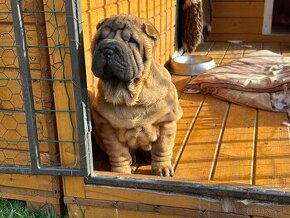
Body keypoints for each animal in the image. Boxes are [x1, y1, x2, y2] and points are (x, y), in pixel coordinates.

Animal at [89, 14, 182, 176]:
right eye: (100, 39)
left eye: (131, 41)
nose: (107, 49)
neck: (130, 97)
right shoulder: (107, 128)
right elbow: (118, 153)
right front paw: (121, 171)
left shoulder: (166, 121)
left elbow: (162, 148)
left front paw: (162, 168)